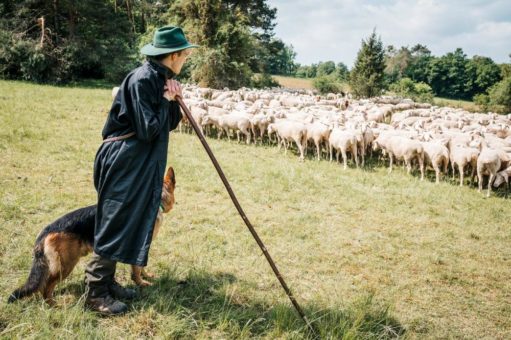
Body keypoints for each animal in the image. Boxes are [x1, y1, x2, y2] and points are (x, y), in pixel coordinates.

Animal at [6, 166, 176, 304]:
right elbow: (137, 268)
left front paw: (146, 276)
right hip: (66, 265)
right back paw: (54, 305)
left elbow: (140, 266)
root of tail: (46, 230)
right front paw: (141, 282)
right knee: (46, 286)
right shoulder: (139, 247)